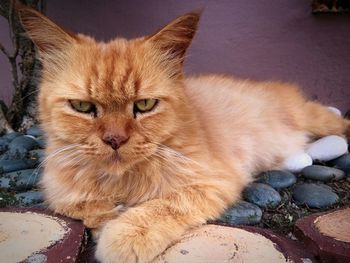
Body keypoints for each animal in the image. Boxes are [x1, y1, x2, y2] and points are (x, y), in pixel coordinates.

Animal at [19, 6, 350, 263]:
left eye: (145, 105)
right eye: (82, 107)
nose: (115, 140)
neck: (122, 181)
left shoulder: (214, 181)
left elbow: (164, 205)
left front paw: (124, 234)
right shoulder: (57, 190)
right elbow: (85, 206)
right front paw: (108, 216)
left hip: (314, 119)